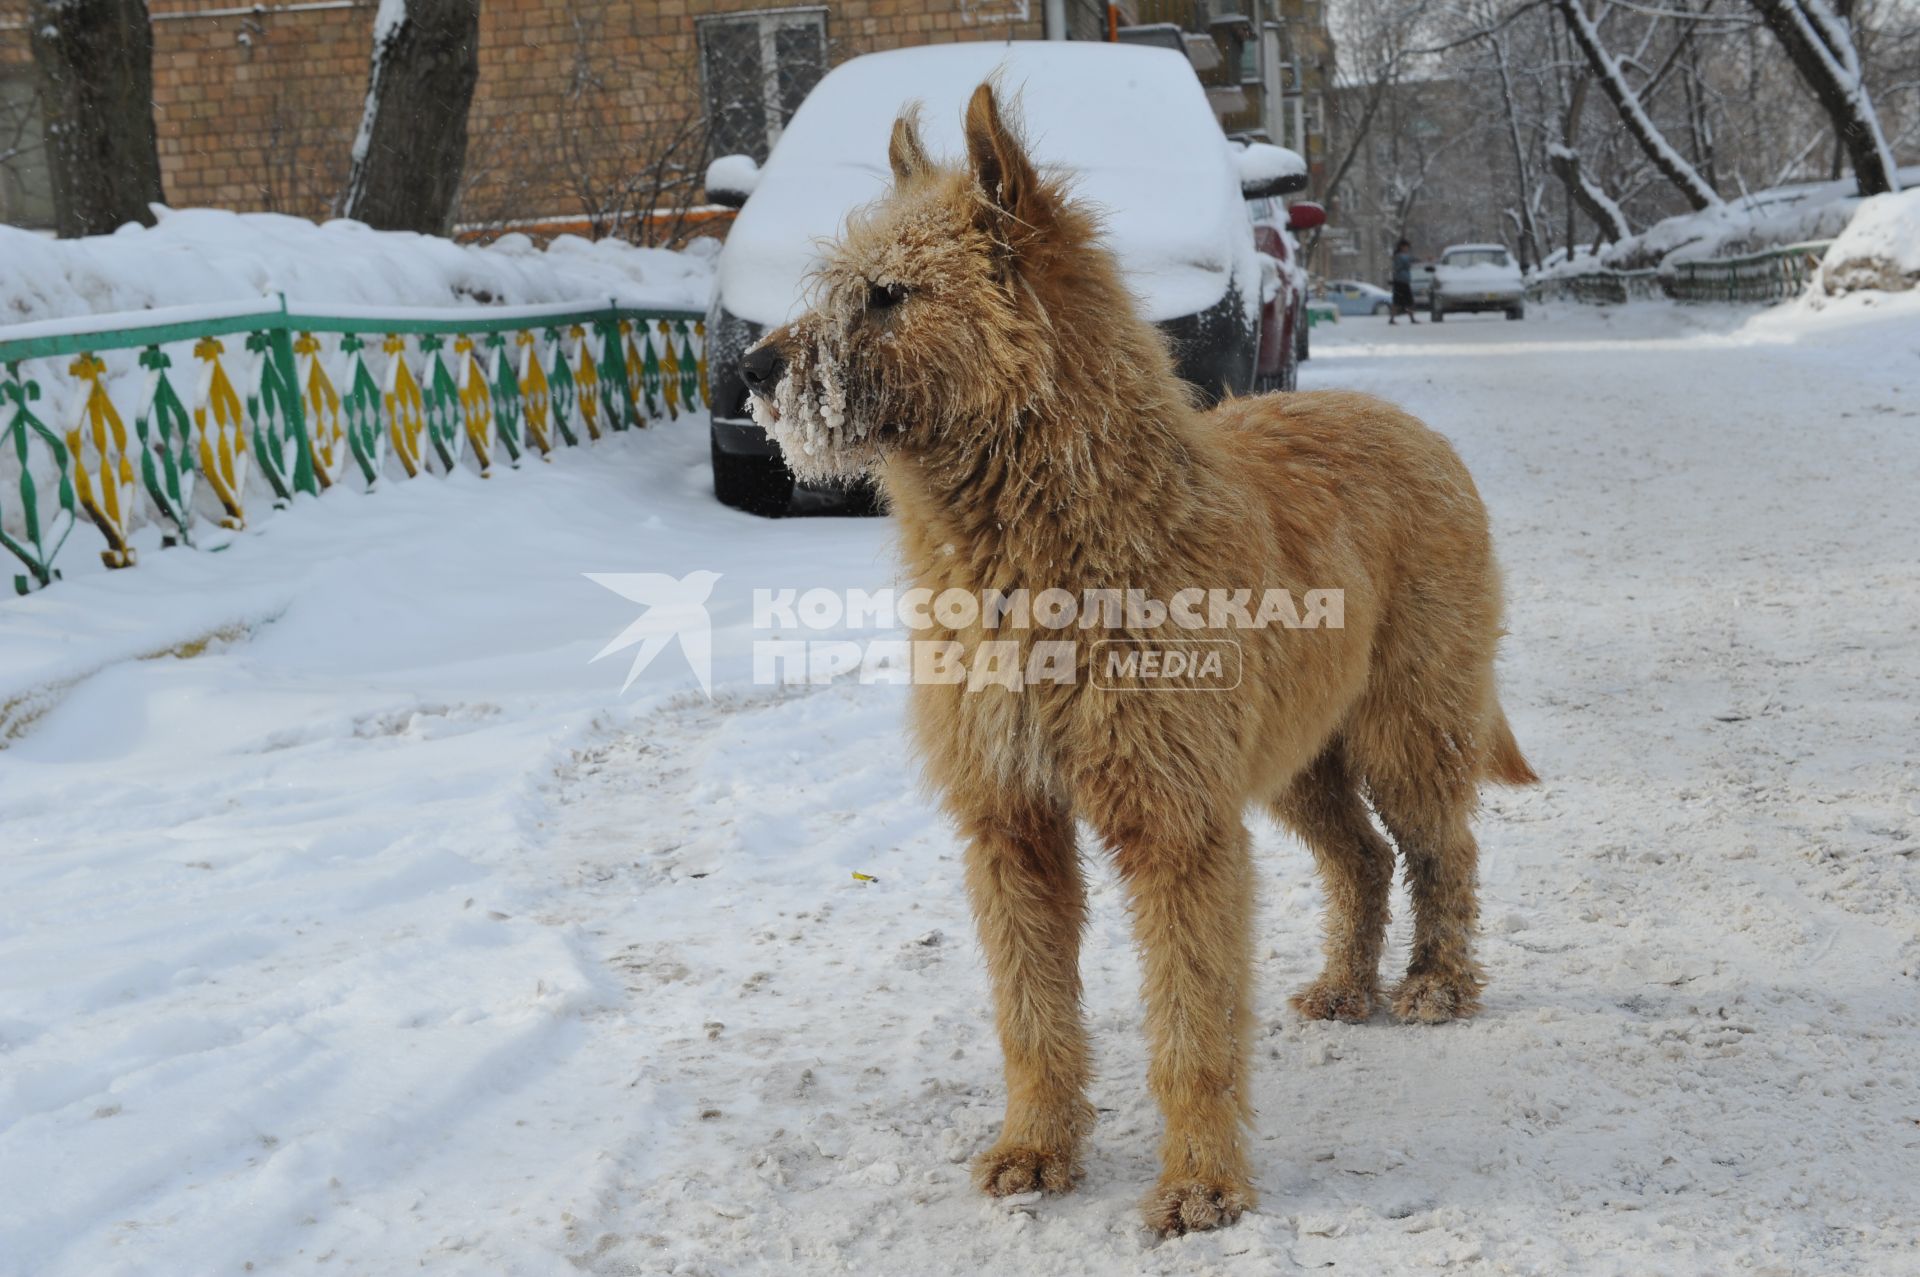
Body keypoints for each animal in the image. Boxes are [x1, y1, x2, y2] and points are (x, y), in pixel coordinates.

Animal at [741, 82, 1536, 1236]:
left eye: (889, 294)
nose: (751, 369)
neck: (1043, 555)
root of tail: (1409, 425)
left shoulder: (1177, 824)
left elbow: (1192, 1018)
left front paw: (1201, 1180)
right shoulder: (1013, 824)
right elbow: (1031, 1011)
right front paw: (1036, 1147)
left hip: (1407, 725)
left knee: (1445, 852)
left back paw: (1438, 982)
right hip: (1297, 760)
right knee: (1361, 858)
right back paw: (1347, 985)